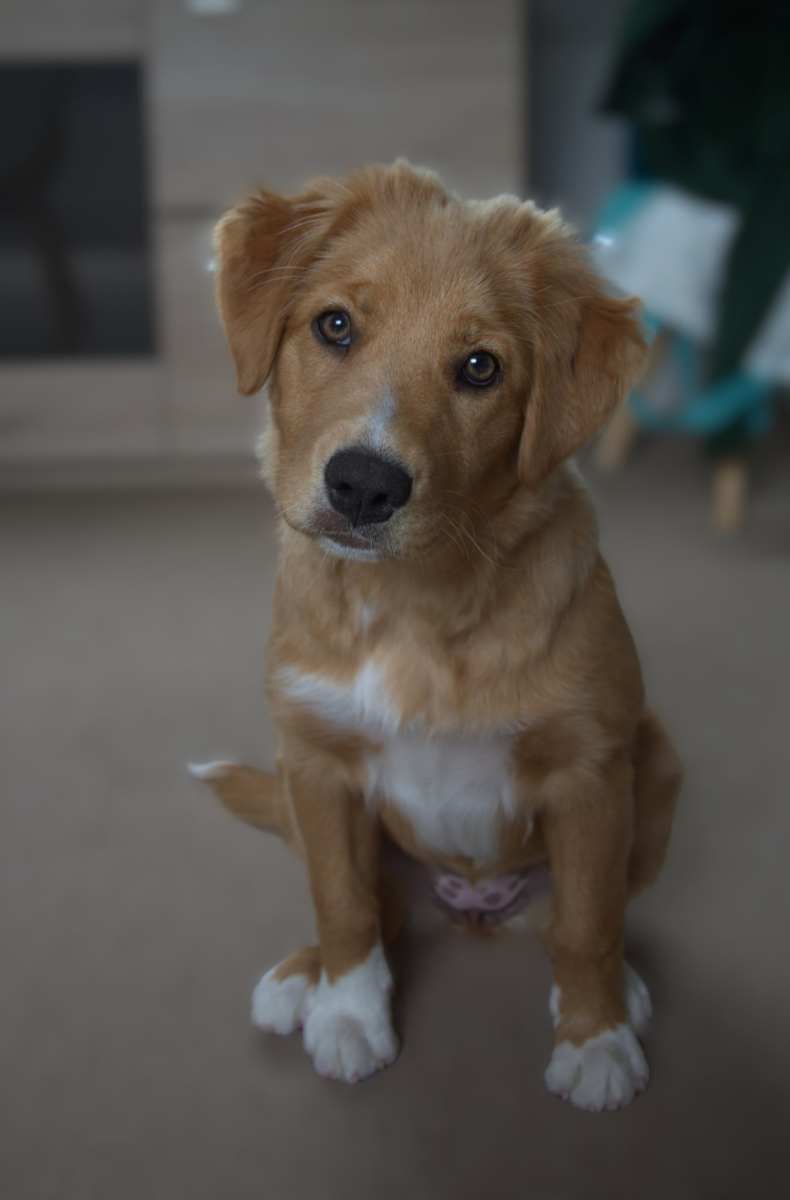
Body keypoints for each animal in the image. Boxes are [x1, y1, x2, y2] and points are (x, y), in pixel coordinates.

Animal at [189, 161, 681, 1112]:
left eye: (480, 368)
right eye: (335, 325)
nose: (362, 485)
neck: (413, 607)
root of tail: (470, 903)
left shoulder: (591, 771)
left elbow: (590, 920)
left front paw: (594, 1036)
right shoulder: (316, 761)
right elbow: (342, 902)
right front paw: (350, 1014)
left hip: (657, 761)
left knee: (578, 914)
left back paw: (626, 994)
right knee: (377, 905)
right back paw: (304, 977)